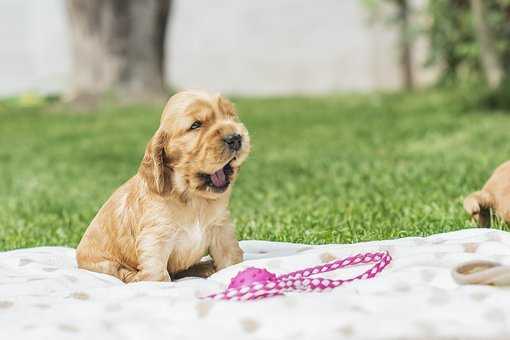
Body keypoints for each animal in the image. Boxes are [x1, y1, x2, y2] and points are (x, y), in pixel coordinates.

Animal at [76, 89, 250, 282]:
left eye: (230, 116)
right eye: (196, 125)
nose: (236, 138)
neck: (192, 198)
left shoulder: (221, 229)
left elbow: (231, 260)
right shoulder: (155, 238)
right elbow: (157, 274)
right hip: (104, 264)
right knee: (121, 271)